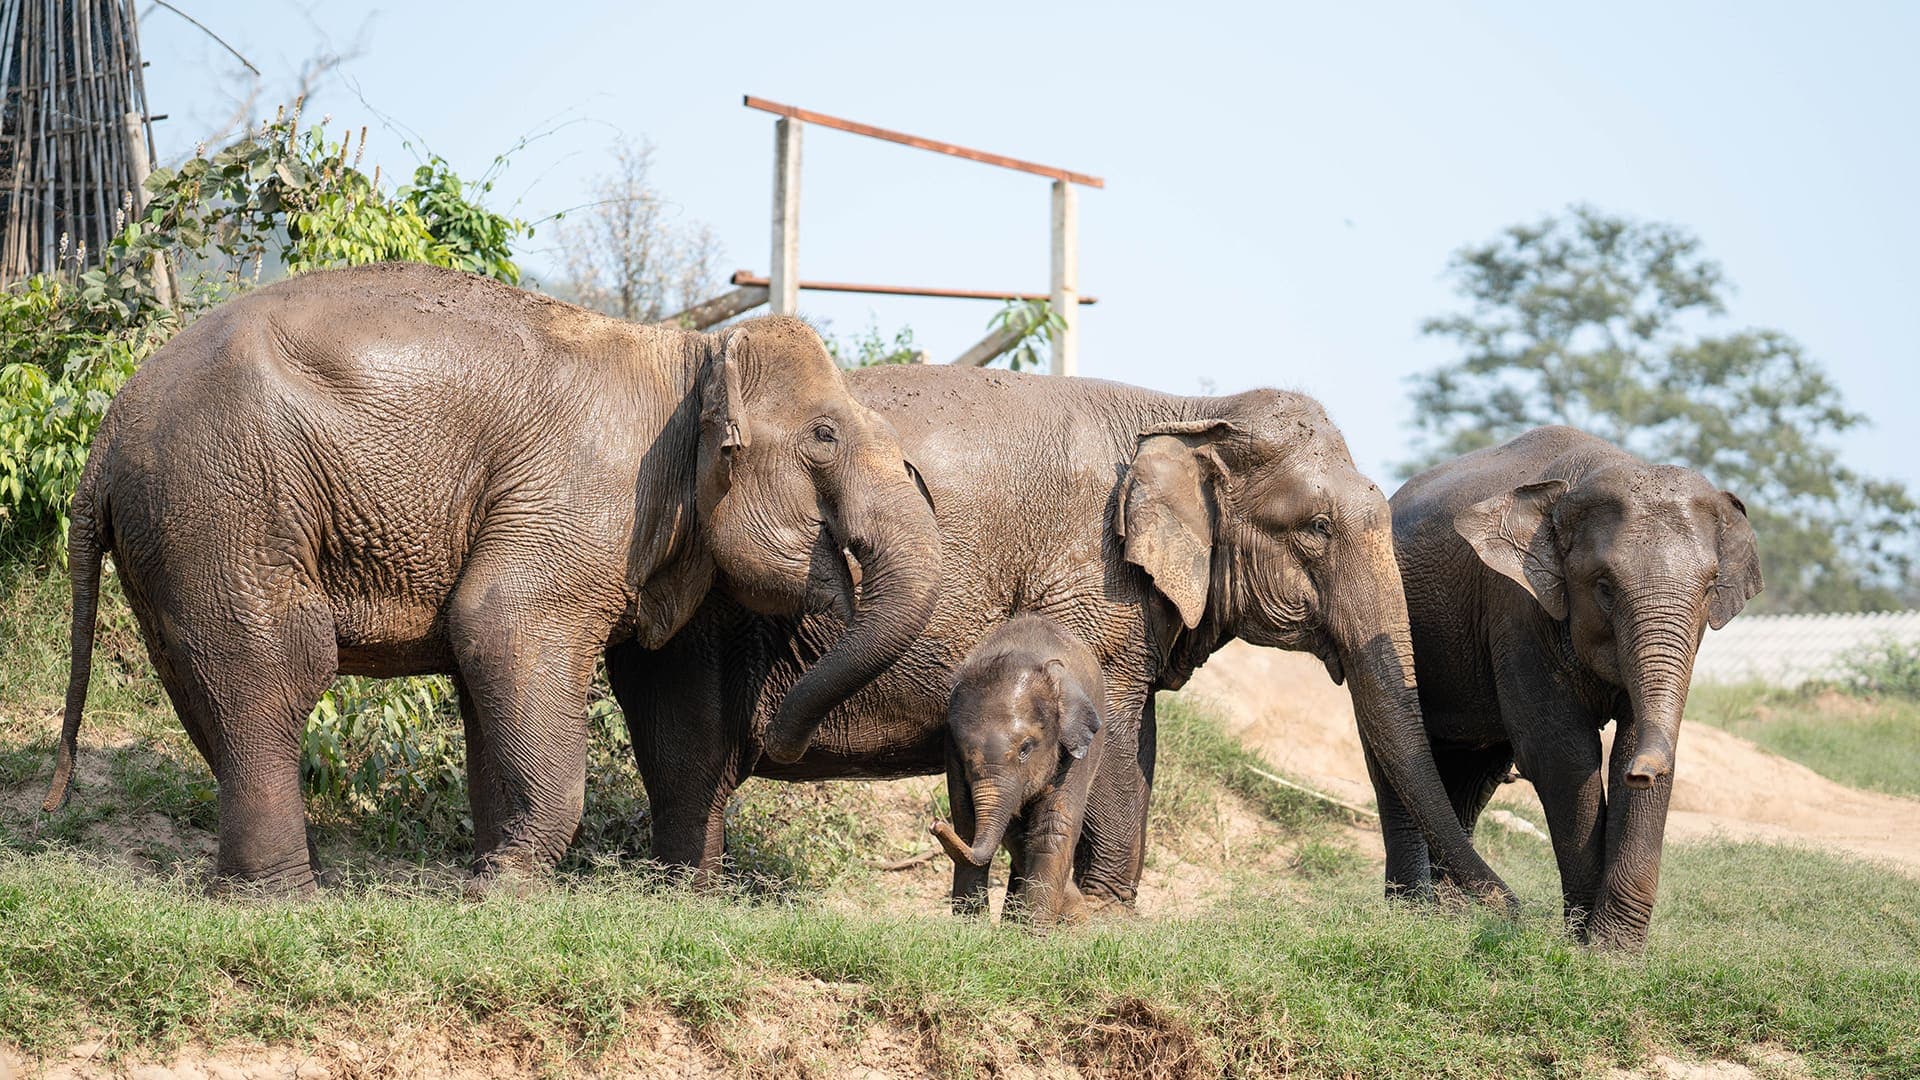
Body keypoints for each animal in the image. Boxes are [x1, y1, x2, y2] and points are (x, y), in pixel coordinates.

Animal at [42, 261, 941, 893]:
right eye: (824, 437)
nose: (783, 737)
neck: (688, 354)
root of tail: (107, 432)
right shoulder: (584, 494)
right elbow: (501, 625)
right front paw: (503, 892)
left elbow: (499, 676)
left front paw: (491, 876)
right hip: (227, 499)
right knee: (279, 667)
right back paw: (287, 901)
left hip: (177, 530)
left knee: (207, 683)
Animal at [929, 613, 1105, 926]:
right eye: (964, 755)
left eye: (1026, 749)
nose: (935, 824)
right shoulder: (949, 744)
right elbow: (969, 820)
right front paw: (971, 929)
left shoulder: (1076, 749)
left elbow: (1053, 824)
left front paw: (1036, 932)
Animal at [1383, 425, 1762, 949]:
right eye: (1603, 587)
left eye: (1709, 588)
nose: (1642, 774)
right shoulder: (1516, 608)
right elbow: (1561, 754)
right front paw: (1587, 944)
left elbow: (1630, 741)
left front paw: (1614, 953)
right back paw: (1411, 914)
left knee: (1476, 771)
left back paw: (1451, 916)